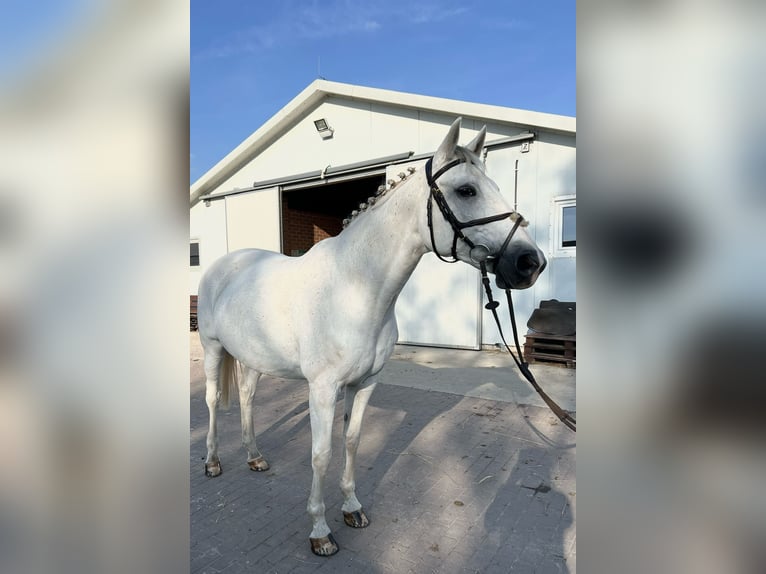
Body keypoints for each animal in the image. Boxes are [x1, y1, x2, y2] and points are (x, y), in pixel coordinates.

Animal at [198, 120, 544, 560]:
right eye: (467, 190)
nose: (530, 262)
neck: (354, 287)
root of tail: (224, 264)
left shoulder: (365, 383)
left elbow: (351, 441)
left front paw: (352, 508)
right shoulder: (323, 389)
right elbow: (321, 454)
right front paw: (320, 531)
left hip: (254, 358)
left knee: (246, 397)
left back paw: (255, 457)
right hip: (213, 349)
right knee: (212, 401)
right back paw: (212, 462)